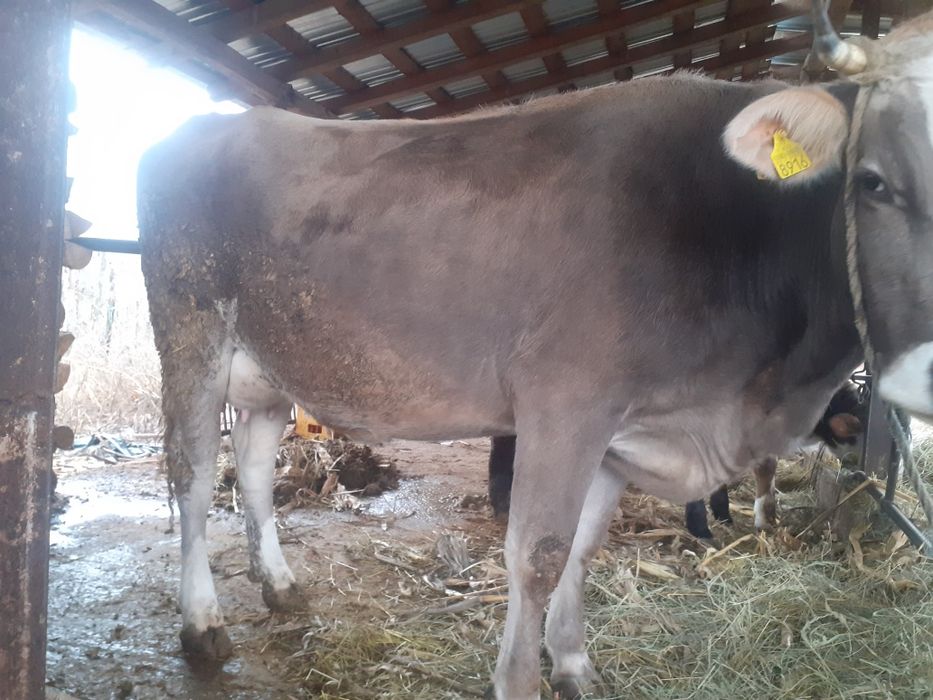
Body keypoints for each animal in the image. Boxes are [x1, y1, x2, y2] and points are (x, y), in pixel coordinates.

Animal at [137, 4, 933, 697]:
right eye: (871, 180)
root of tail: (207, 127)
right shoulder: (566, 404)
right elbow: (539, 554)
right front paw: (521, 679)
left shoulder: (619, 430)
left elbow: (584, 545)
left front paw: (574, 663)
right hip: (190, 331)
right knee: (192, 473)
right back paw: (202, 624)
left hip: (271, 365)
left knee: (253, 470)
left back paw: (279, 585)